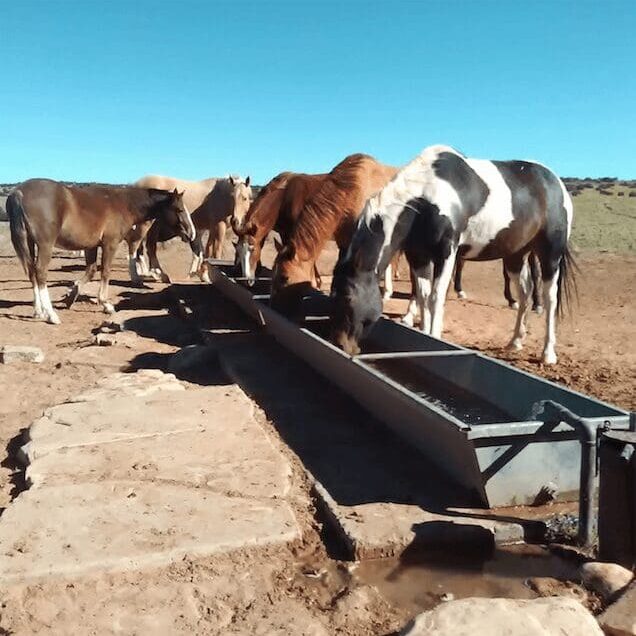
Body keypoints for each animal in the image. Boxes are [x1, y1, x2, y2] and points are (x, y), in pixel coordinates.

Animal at [7, 181, 194, 326]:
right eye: (179, 209)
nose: (191, 234)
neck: (123, 204)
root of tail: (19, 192)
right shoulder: (110, 244)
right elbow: (105, 271)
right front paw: (106, 304)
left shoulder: (90, 246)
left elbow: (91, 271)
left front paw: (72, 294)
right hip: (45, 245)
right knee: (40, 272)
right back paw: (51, 315)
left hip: (29, 243)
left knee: (32, 272)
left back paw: (38, 311)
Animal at [332, 143, 576, 362]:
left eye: (348, 297)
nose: (341, 345)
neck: (425, 196)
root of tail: (555, 182)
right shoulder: (419, 256)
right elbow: (422, 295)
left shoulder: (446, 252)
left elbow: (435, 297)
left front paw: (433, 336)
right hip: (516, 255)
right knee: (525, 293)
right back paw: (515, 341)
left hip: (550, 254)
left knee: (550, 298)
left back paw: (548, 354)